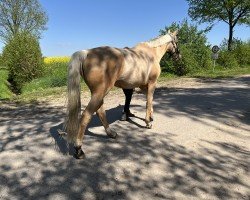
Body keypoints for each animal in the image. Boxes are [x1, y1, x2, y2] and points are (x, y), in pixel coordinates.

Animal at [64, 29, 181, 159]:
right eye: (177, 41)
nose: (178, 56)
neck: (151, 53)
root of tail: (87, 53)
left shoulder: (142, 86)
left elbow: (149, 100)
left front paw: (151, 116)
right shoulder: (152, 83)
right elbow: (149, 101)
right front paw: (148, 122)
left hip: (98, 93)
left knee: (100, 112)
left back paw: (111, 133)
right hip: (100, 92)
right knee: (86, 115)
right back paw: (79, 149)